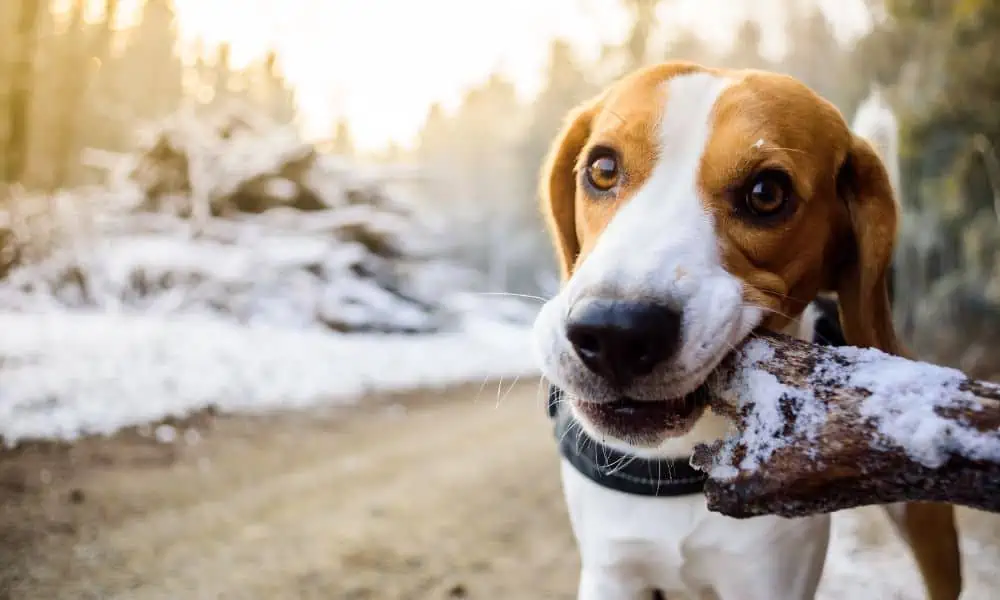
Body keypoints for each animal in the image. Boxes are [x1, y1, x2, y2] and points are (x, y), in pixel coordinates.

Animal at [532, 62, 960, 600]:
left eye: (766, 194)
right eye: (603, 169)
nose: (615, 332)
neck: (683, 460)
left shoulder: (768, 580)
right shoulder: (612, 573)